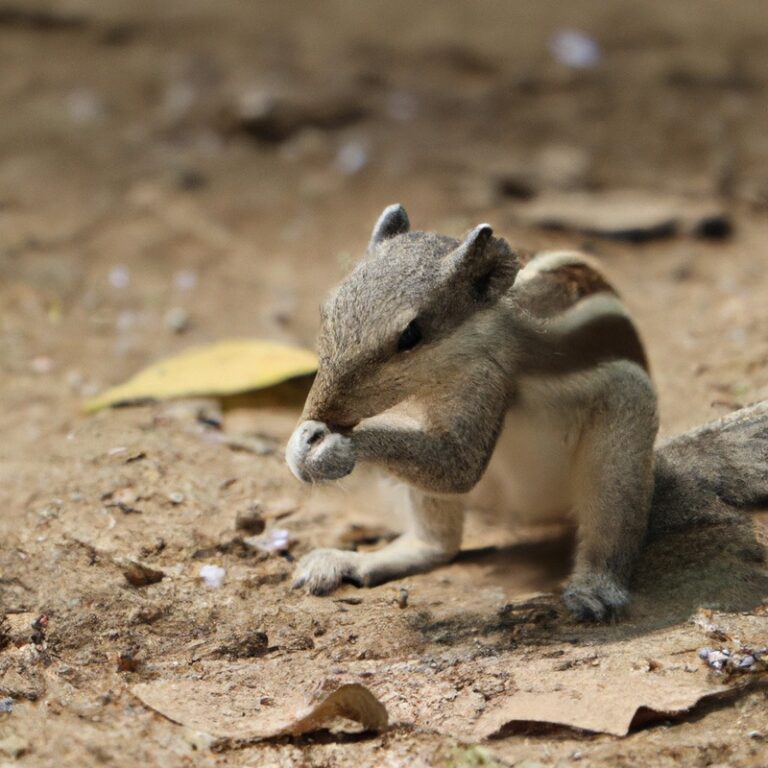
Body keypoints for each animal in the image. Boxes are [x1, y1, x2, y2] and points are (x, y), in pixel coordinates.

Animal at [286, 202, 768, 616]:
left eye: (411, 334)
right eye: (328, 309)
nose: (319, 413)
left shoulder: (488, 377)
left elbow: (458, 466)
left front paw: (333, 449)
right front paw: (302, 443)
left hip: (624, 427)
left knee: (610, 525)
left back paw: (597, 586)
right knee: (438, 546)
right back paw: (362, 560)